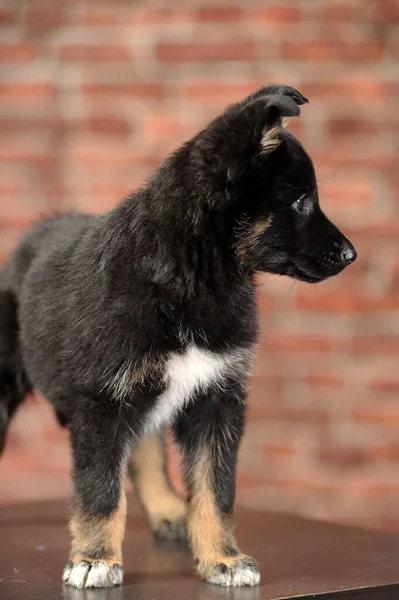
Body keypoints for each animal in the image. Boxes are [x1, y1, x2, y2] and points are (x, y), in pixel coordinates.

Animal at [0, 86, 356, 588]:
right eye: (303, 200)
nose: (351, 254)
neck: (192, 274)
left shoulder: (216, 398)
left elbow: (215, 489)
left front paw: (223, 557)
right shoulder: (100, 402)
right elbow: (100, 490)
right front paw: (94, 559)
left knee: (144, 449)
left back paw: (169, 509)